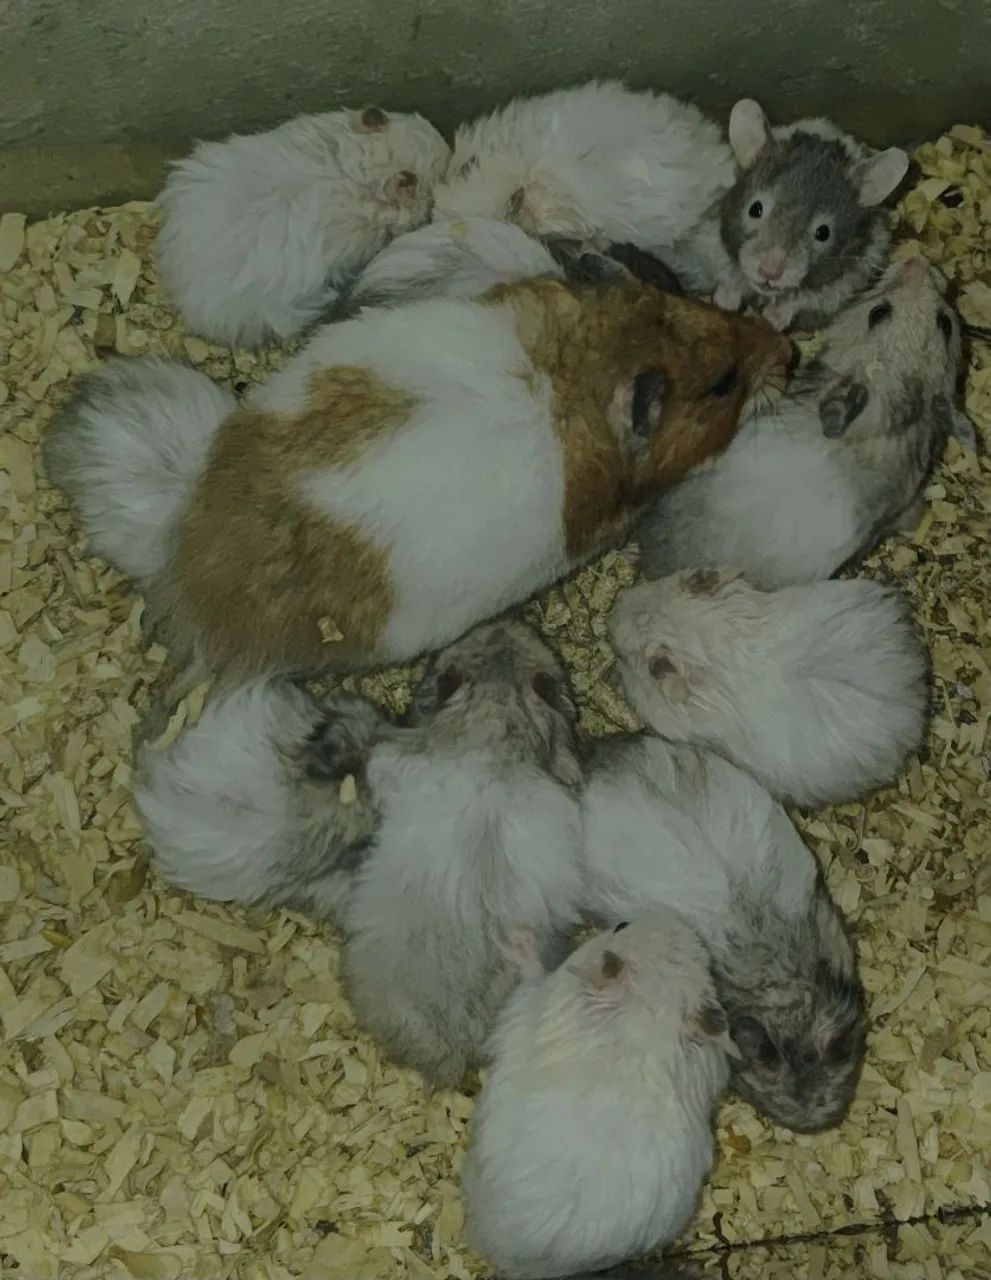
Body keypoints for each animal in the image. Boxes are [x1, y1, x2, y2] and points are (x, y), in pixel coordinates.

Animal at [461, 907, 734, 1280]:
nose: (664, 914)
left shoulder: (532, 1000)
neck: (649, 1016)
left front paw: (519, 938)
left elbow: (532, 975)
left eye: (621, 926)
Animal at [669, 99, 908, 330]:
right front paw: (725, 303)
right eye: (755, 209)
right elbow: (730, 276)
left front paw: (772, 318)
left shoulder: (839, 286)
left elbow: (796, 301)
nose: (769, 273)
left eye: (823, 233)